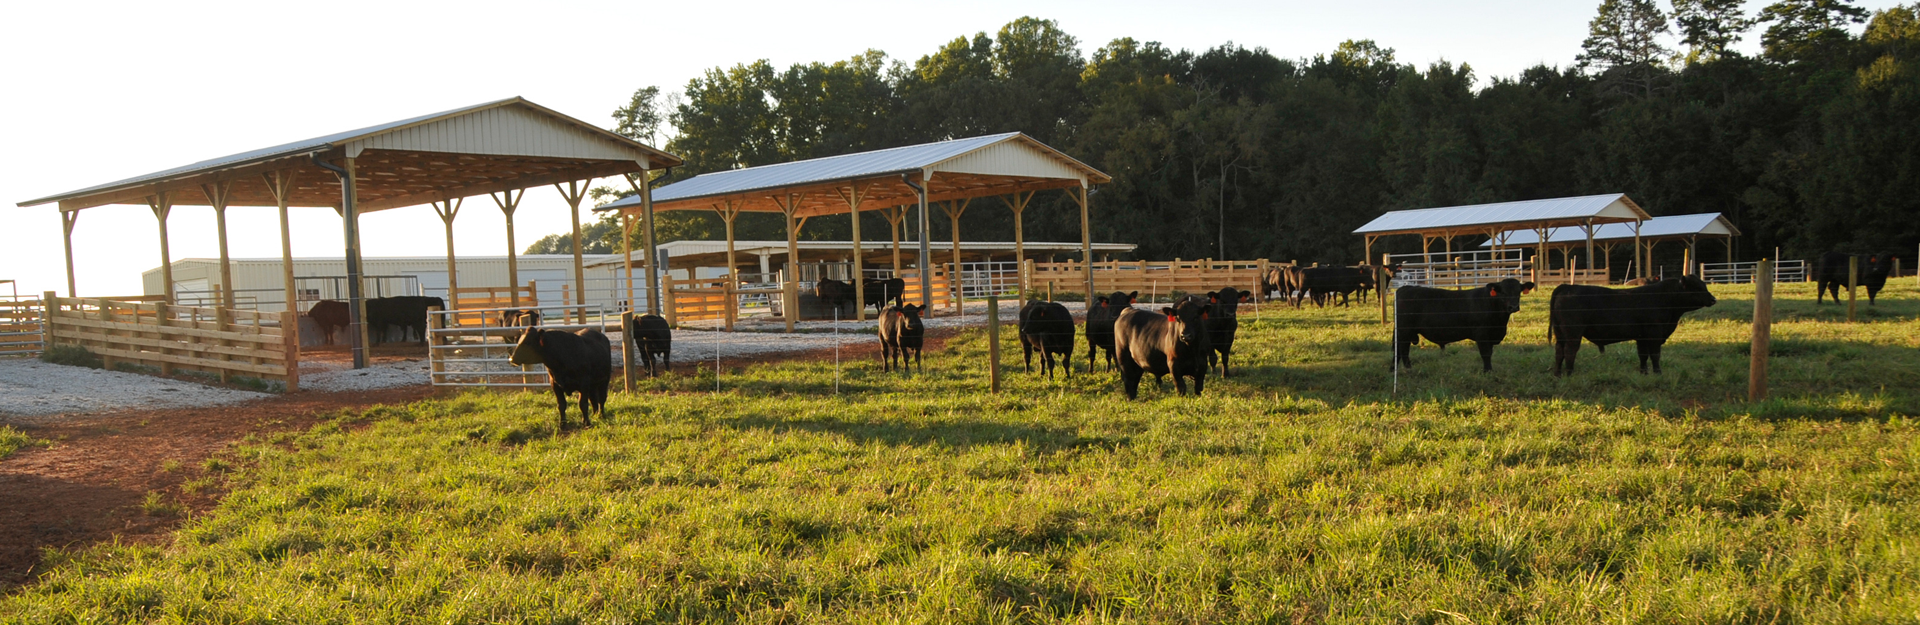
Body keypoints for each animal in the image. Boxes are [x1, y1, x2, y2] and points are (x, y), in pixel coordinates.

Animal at [1391, 278, 1535, 372]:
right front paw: (1487, 371)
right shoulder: (1482, 334)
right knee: (1401, 349)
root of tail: (1405, 288)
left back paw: (1400, 369)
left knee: (1401, 350)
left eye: (1518, 292)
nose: (1514, 307)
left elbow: (1490, 353)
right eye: (1503, 292)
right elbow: (1485, 353)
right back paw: (1403, 369)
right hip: (1404, 330)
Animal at [1549, 276, 1718, 376]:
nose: (1713, 299)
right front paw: (1658, 373)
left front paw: (1644, 373)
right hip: (1573, 334)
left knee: (1559, 352)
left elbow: (1642, 355)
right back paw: (1569, 373)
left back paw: (1558, 374)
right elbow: (1655, 355)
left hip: (1560, 334)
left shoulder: (1641, 337)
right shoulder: (1654, 333)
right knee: (1570, 352)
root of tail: (1568, 287)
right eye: (1697, 287)